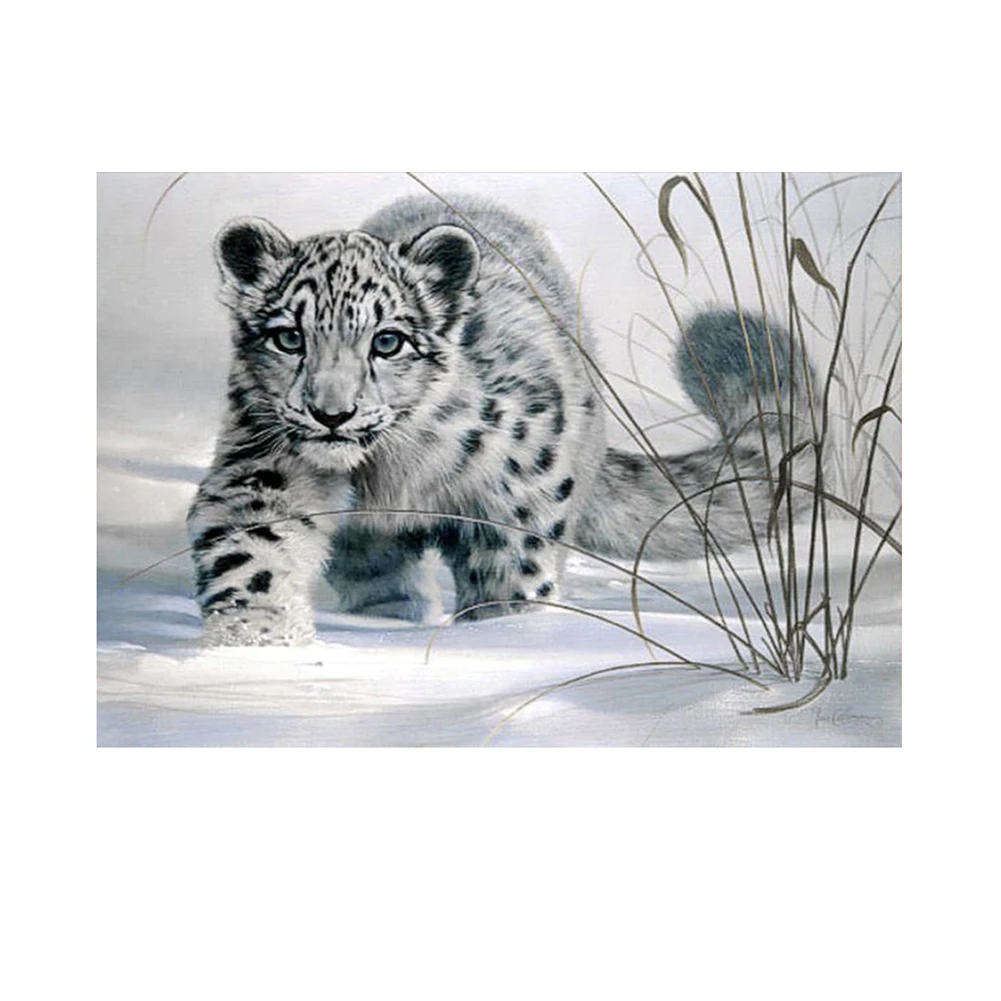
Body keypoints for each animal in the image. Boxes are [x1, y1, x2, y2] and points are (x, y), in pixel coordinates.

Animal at [187, 194, 814, 646]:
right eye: (289, 337)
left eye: (387, 341)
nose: (332, 414)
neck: (390, 470)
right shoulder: (265, 464)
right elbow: (252, 551)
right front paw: (256, 644)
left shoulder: (516, 495)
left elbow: (513, 575)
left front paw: (503, 633)